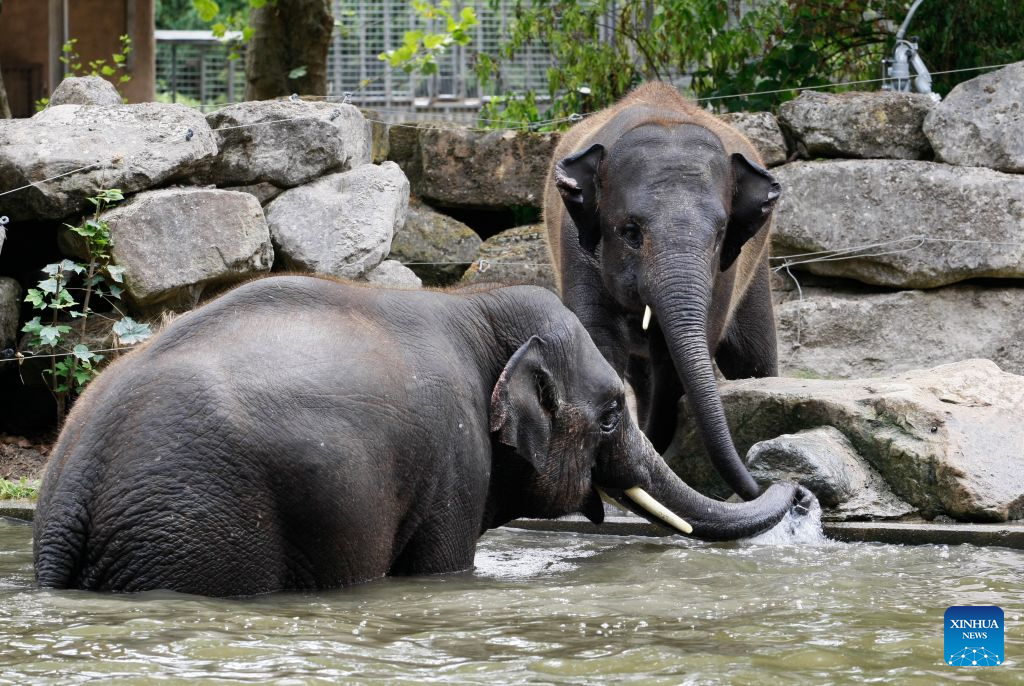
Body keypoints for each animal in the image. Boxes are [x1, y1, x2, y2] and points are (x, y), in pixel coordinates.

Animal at [34, 276, 811, 597]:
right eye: (614, 415)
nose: (801, 492)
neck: (472, 306)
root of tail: (75, 483)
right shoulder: (452, 457)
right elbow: (440, 568)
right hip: (196, 531)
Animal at [545, 82, 782, 502]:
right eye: (631, 232)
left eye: (720, 235)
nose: (776, 487)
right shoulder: (574, 242)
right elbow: (598, 337)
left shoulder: (727, 269)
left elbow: (676, 355)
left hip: (756, 275)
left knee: (751, 361)